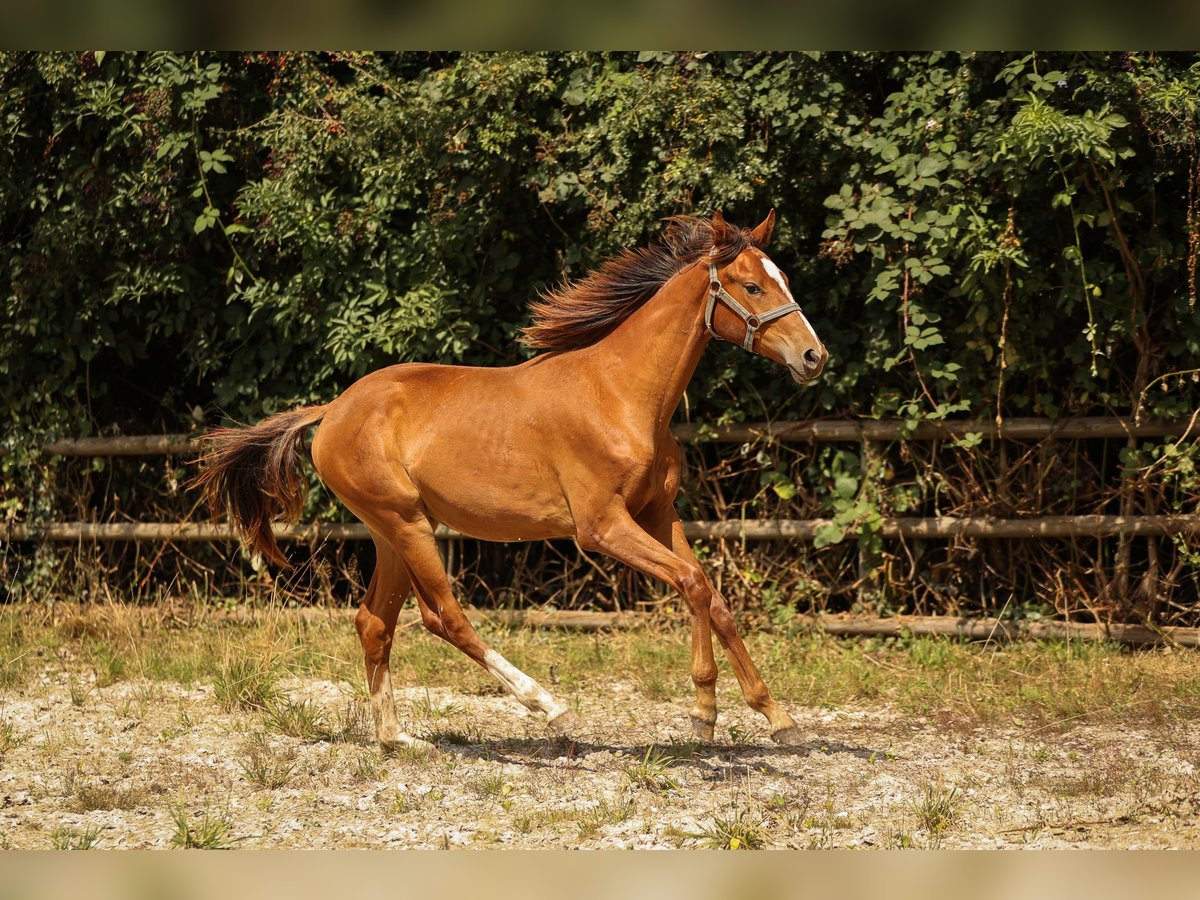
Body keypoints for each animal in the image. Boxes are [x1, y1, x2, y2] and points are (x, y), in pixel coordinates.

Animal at [199, 210, 835, 748]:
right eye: (752, 287)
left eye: (782, 278)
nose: (814, 357)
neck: (622, 395)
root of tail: (331, 410)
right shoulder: (601, 527)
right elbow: (693, 584)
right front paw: (704, 713)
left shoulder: (659, 513)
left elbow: (715, 597)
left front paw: (779, 719)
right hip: (406, 525)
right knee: (444, 617)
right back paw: (548, 706)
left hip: (390, 532)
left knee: (374, 623)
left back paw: (397, 740)